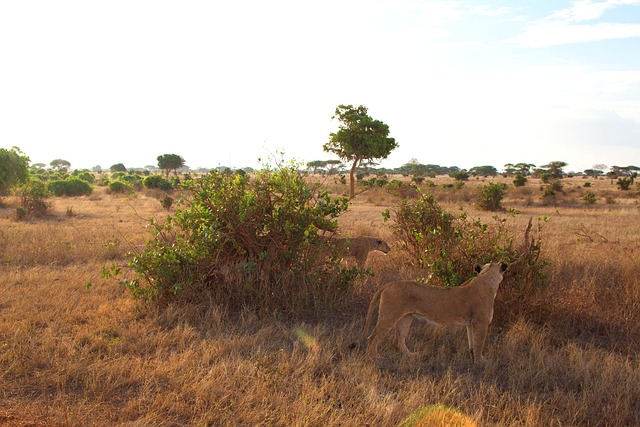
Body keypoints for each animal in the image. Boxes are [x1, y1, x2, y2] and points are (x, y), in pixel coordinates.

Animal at [362, 260, 508, 364]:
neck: (486, 278)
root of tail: (389, 284)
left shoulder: (471, 324)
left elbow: (472, 343)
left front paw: (473, 358)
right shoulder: (481, 323)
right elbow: (479, 343)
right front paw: (480, 361)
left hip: (406, 318)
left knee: (398, 340)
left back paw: (412, 355)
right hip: (389, 316)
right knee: (372, 337)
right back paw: (375, 358)